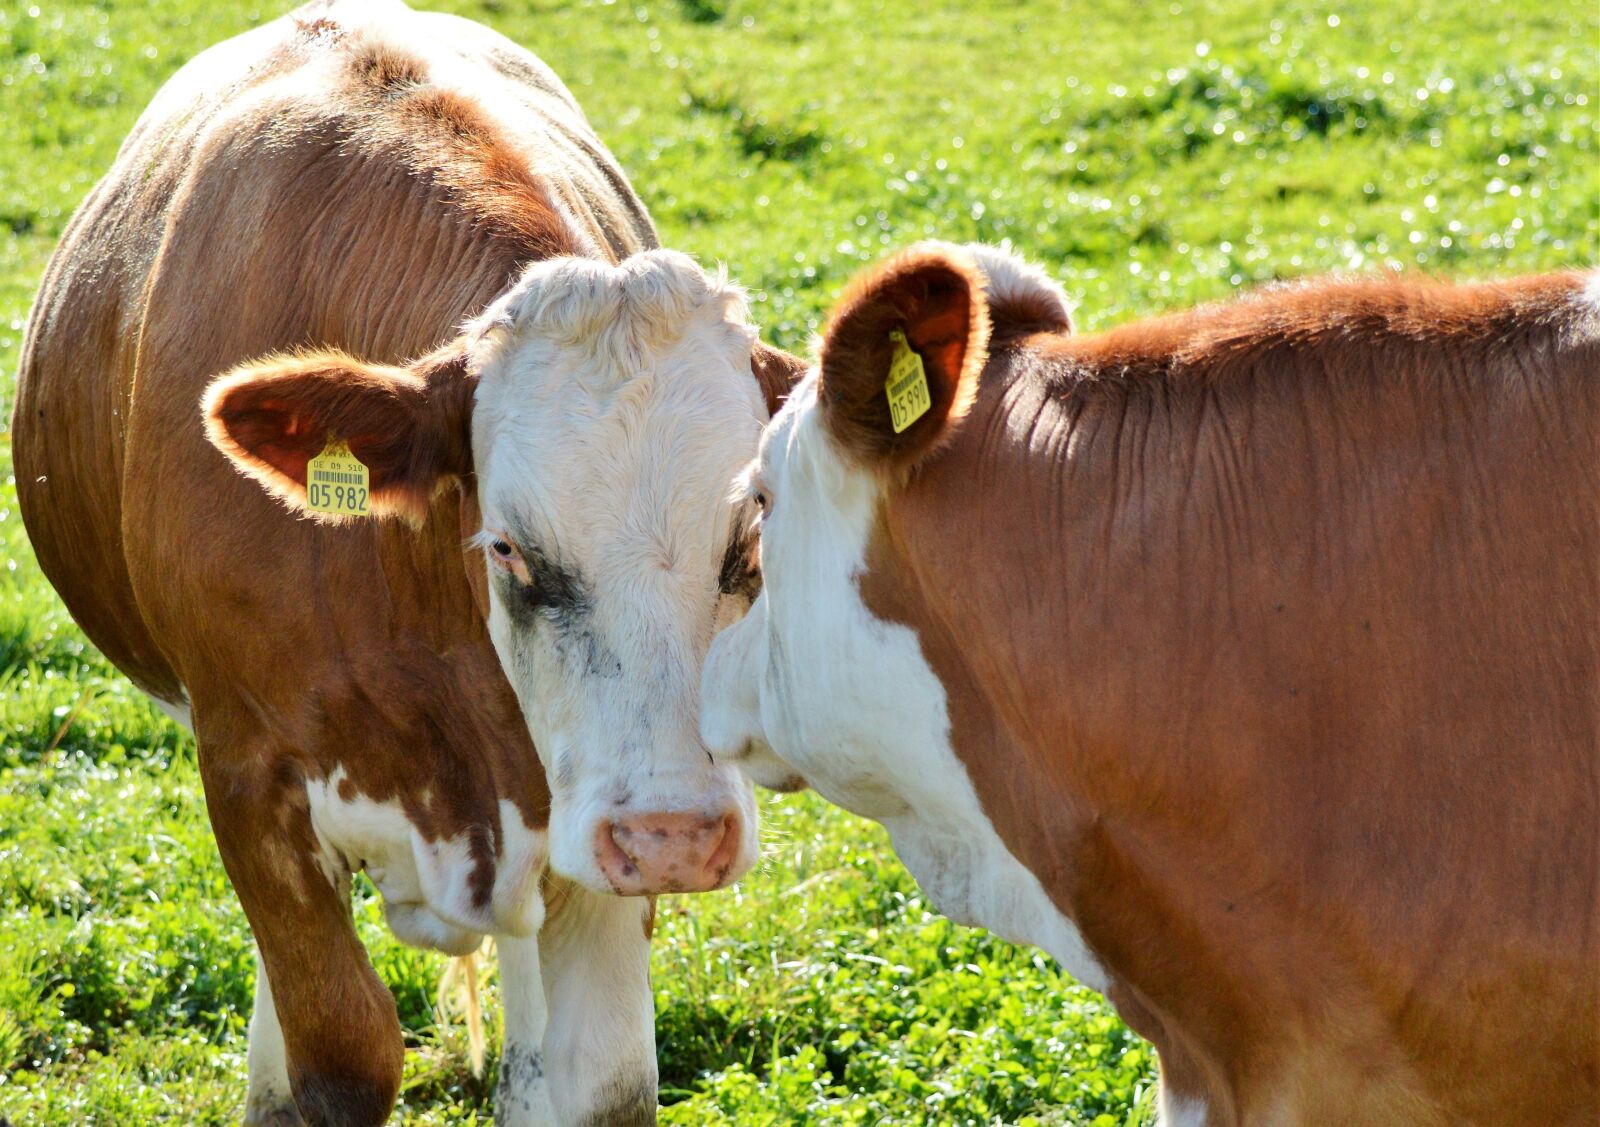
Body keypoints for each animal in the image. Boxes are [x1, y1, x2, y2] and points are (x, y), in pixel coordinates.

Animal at [13, 2, 804, 1124]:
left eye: (748, 540)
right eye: (508, 546)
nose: (673, 836)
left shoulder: (579, 825)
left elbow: (600, 1081)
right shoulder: (245, 773)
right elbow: (341, 1049)